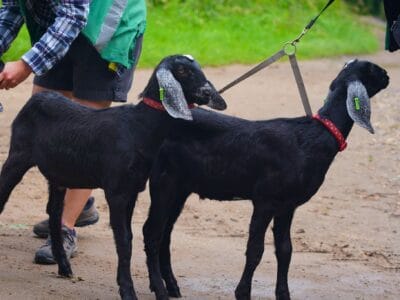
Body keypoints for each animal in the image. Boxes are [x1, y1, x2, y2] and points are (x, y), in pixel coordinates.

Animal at [144, 59, 390, 300]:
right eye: (372, 69)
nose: (387, 75)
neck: (312, 138)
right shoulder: (265, 200)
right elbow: (255, 250)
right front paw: (242, 293)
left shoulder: (288, 205)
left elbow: (285, 250)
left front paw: (283, 294)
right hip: (163, 181)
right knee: (152, 232)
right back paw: (159, 288)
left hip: (180, 188)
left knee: (165, 232)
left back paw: (172, 286)